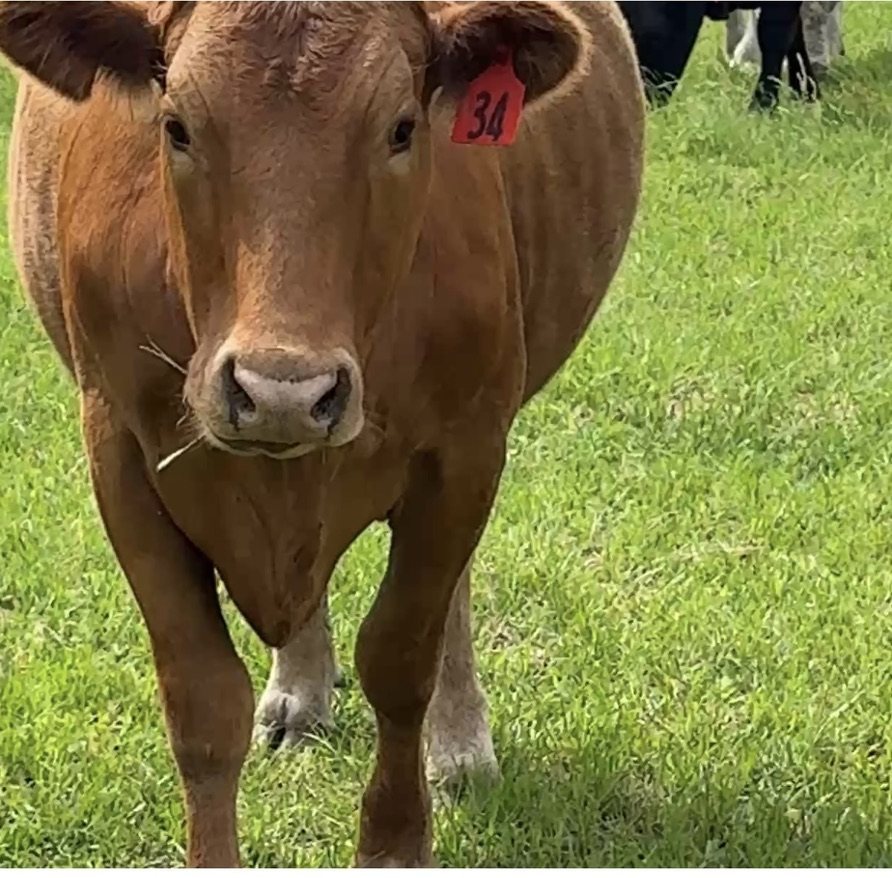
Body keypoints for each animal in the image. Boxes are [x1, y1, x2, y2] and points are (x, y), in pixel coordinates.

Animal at [0, 0, 644, 868]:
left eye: (402, 127)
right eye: (176, 126)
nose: (283, 393)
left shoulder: (464, 451)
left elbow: (400, 660)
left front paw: (398, 841)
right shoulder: (121, 453)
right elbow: (203, 705)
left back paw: (459, 740)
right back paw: (300, 688)